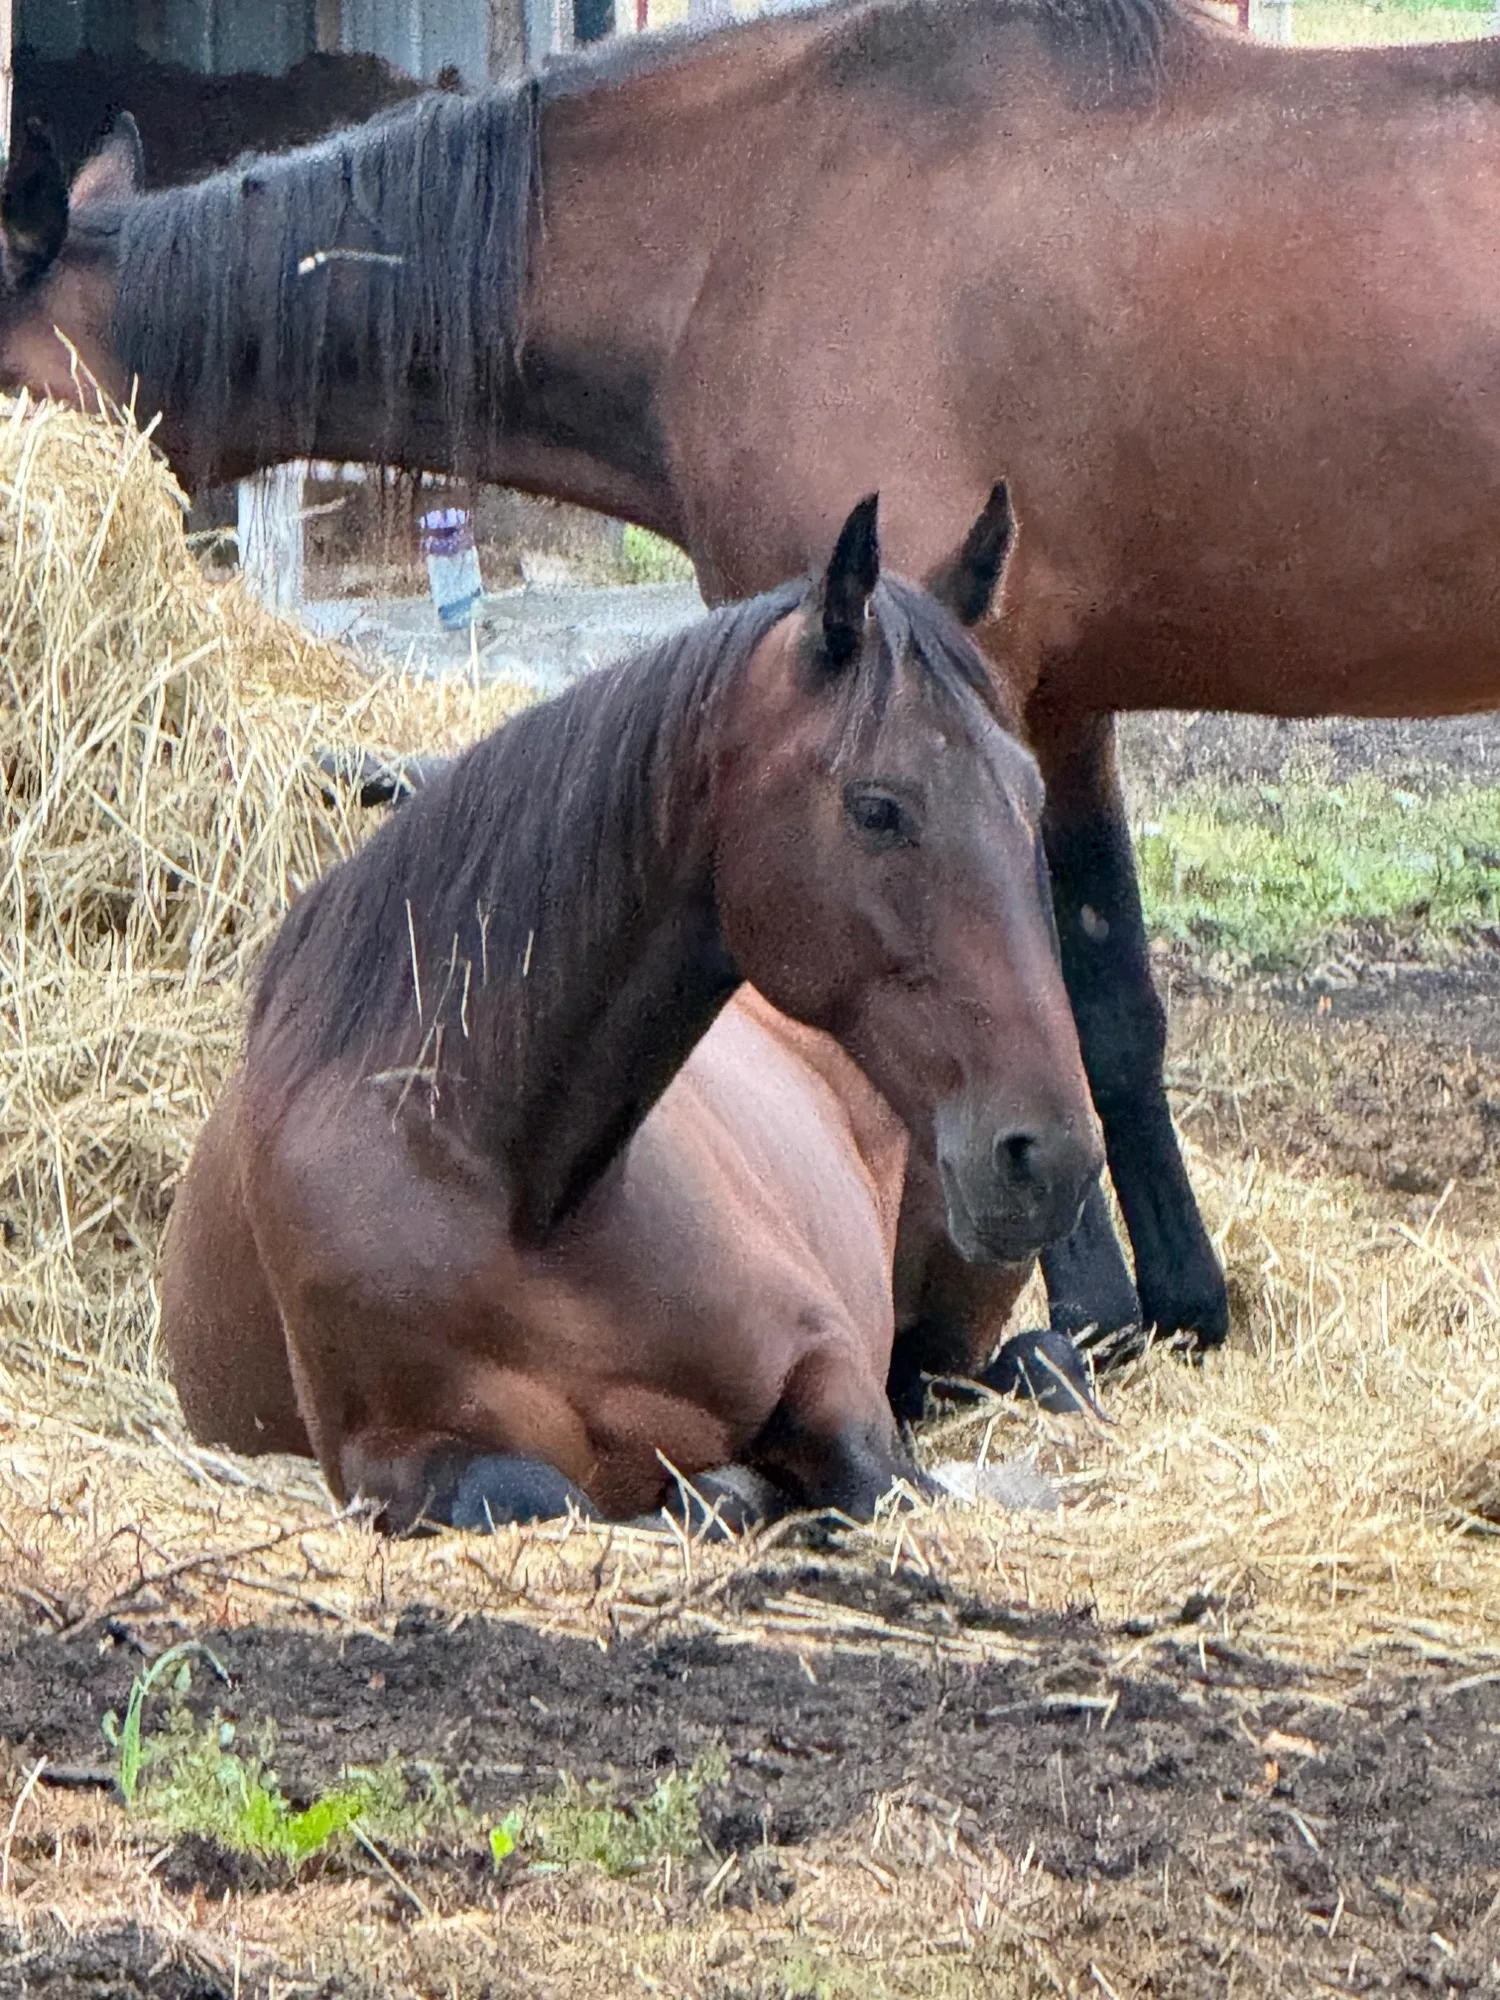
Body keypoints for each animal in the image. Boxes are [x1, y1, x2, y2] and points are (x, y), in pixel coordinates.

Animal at [158, 496, 1103, 1530]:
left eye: (1028, 793)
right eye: (878, 808)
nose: (1049, 1154)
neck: (522, 1189)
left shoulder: (826, 1362)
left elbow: (878, 1475)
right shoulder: (394, 1460)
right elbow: (541, 1489)